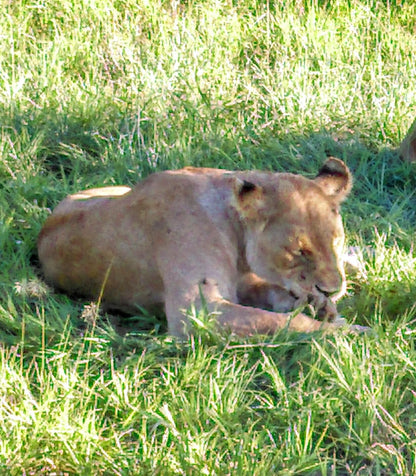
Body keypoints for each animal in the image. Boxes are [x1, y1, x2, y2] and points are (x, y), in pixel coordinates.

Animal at [38, 158, 364, 336]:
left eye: (336, 240)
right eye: (299, 251)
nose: (333, 290)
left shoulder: (244, 283)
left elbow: (275, 296)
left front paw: (320, 307)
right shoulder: (195, 311)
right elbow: (281, 323)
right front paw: (352, 334)